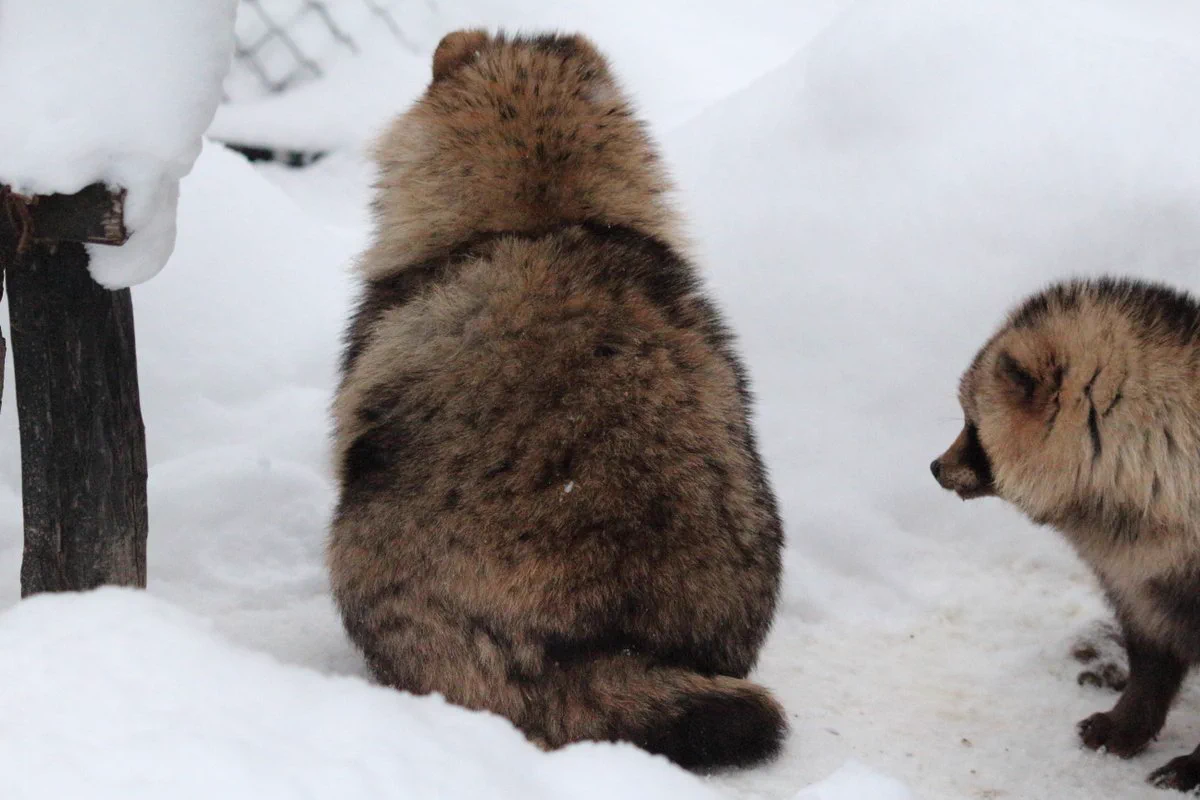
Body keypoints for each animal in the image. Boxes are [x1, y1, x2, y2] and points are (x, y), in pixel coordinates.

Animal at [931, 278, 1200, 791]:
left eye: (973, 422)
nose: (935, 467)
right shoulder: (1139, 579)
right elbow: (1151, 661)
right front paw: (1126, 726)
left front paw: (1192, 766)